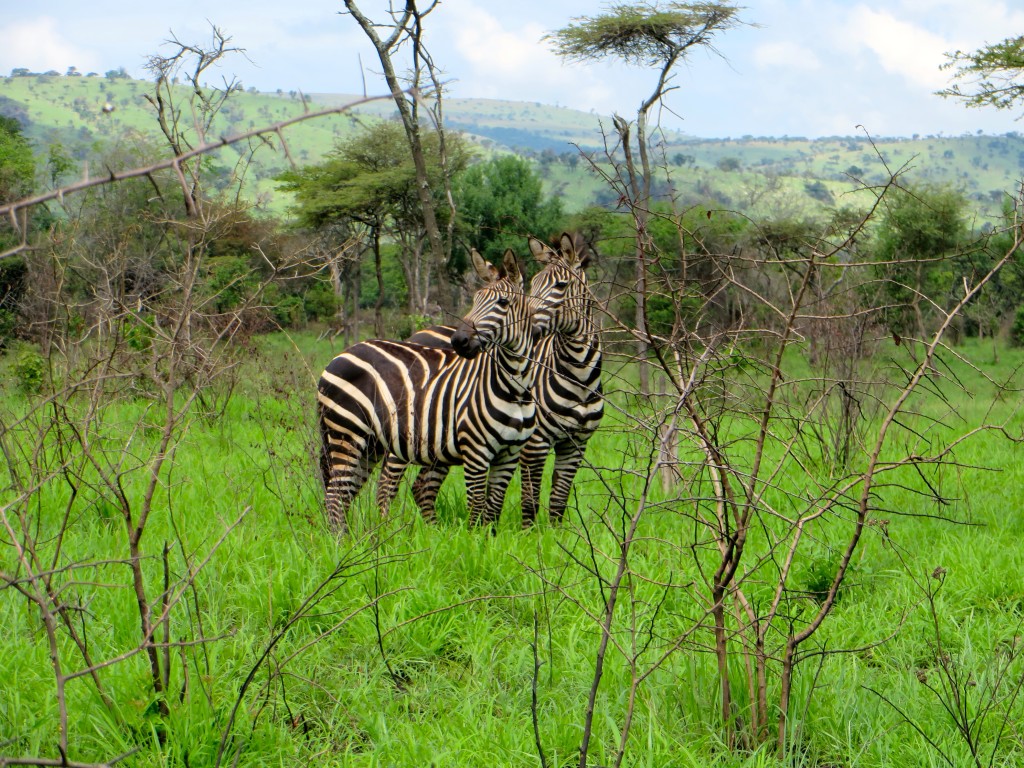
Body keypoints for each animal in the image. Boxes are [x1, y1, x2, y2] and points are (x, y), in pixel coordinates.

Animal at [317, 234, 598, 536]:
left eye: (503, 302)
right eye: (475, 300)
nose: (459, 341)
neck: (516, 387)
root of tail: (340, 355)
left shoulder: (516, 453)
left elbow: (497, 508)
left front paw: (506, 541)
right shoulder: (481, 451)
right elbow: (481, 509)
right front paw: (481, 542)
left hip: (371, 442)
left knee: (350, 491)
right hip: (351, 433)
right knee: (342, 492)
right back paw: (353, 539)